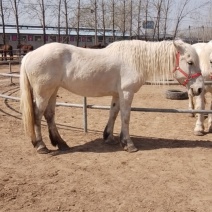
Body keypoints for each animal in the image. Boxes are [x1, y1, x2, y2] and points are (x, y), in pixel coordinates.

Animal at [19, 39, 204, 153]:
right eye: (190, 62)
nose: (200, 89)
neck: (134, 60)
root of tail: (29, 55)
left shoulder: (117, 94)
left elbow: (113, 113)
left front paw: (109, 137)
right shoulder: (127, 92)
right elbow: (125, 117)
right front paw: (128, 144)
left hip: (53, 90)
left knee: (49, 115)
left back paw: (61, 143)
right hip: (43, 93)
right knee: (37, 115)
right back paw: (41, 146)